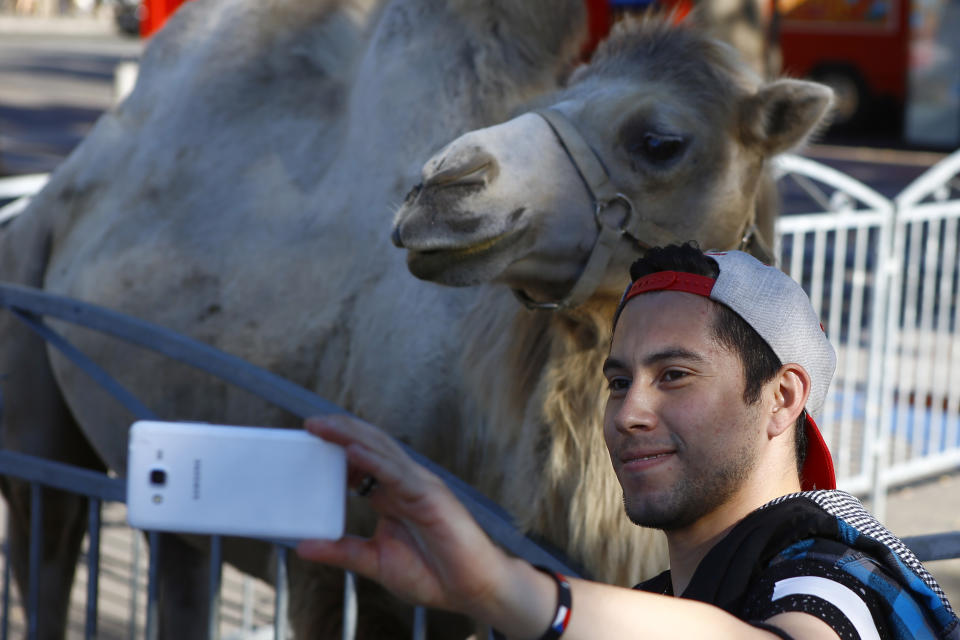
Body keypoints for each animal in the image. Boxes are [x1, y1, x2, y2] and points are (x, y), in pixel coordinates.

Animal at [0, 1, 828, 636]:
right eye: (565, 89)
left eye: (661, 142)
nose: (443, 188)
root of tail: (62, 183)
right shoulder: (355, 576)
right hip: (33, 382)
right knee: (49, 544)